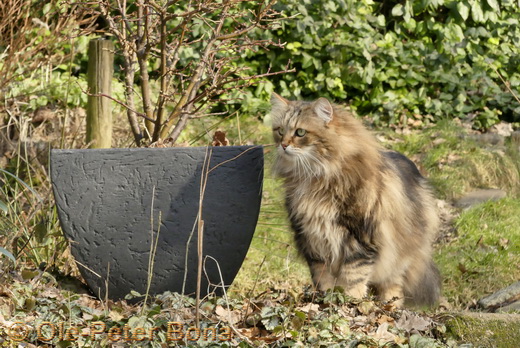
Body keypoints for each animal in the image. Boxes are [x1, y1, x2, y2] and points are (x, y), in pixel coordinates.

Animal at [270, 93, 440, 308]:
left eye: (300, 132)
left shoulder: (360, 240)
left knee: (393, 288)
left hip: (399, 257)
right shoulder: (313, 241)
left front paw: (350, 303)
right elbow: (322, 280)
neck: (316, 179)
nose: (283, 145)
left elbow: (353, 279)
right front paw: (324, 302)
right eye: (280, 131)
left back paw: (389, 306)